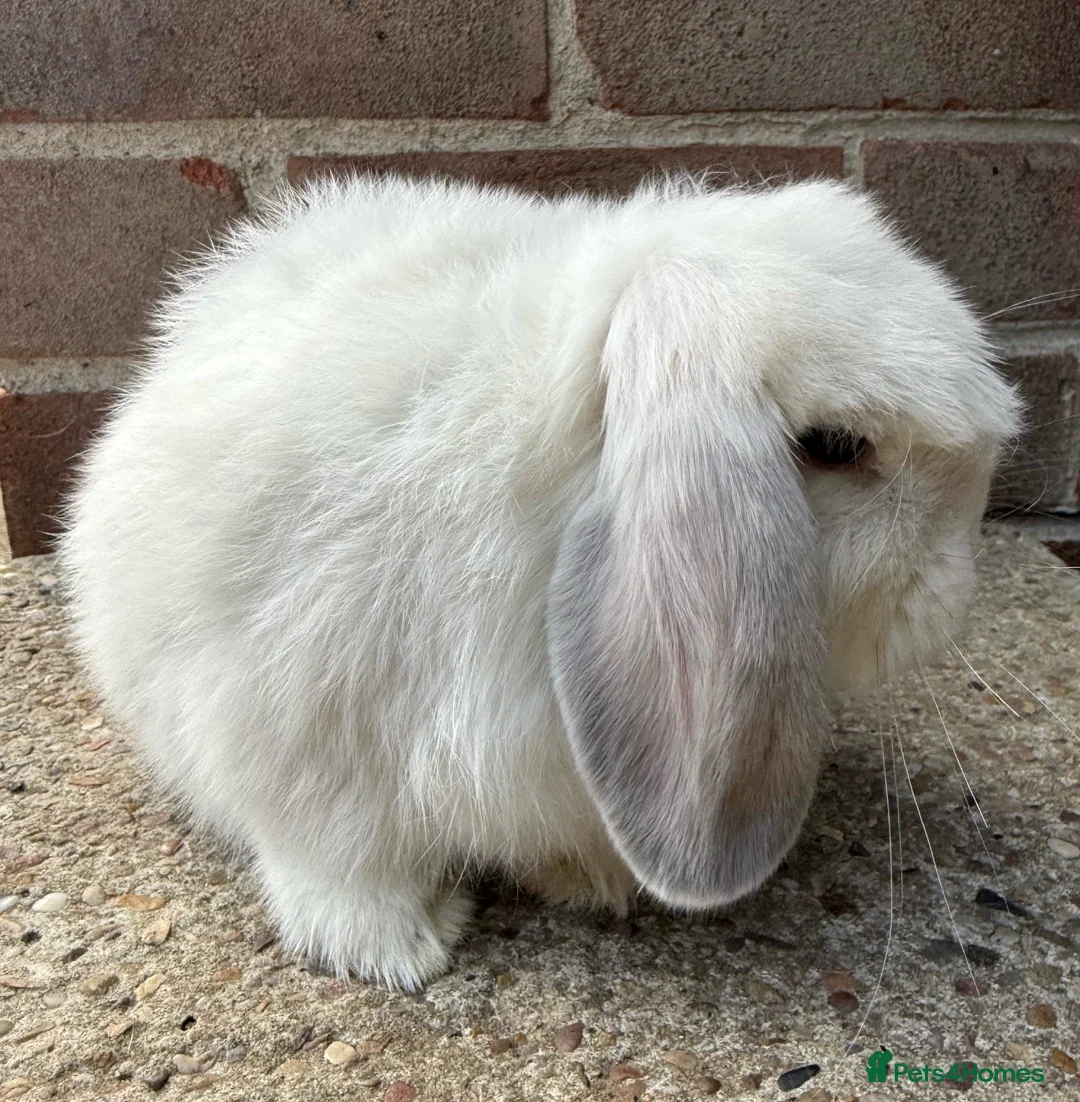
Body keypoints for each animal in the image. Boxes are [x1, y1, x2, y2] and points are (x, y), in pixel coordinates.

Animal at [59, 172, 1020, 991]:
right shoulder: (298, 728)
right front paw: (399, 950)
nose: (953, 599)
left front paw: (592, 879)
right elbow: (338, 862)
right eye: (836, 446)